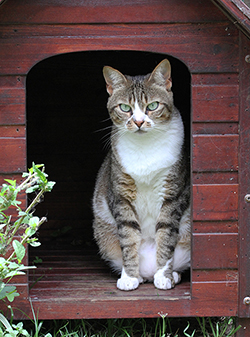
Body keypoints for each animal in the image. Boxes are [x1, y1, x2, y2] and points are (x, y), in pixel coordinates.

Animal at [93, 59, 190, 290]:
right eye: (125, 108)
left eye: (152, 106)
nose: (138, 122)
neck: (145, 145)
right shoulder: (121, 196)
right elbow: (128, 239)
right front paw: (129, 277)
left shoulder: (172, 194)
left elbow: (165, 236)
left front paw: (164, 276)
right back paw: (138, 276)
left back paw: (171, 275)